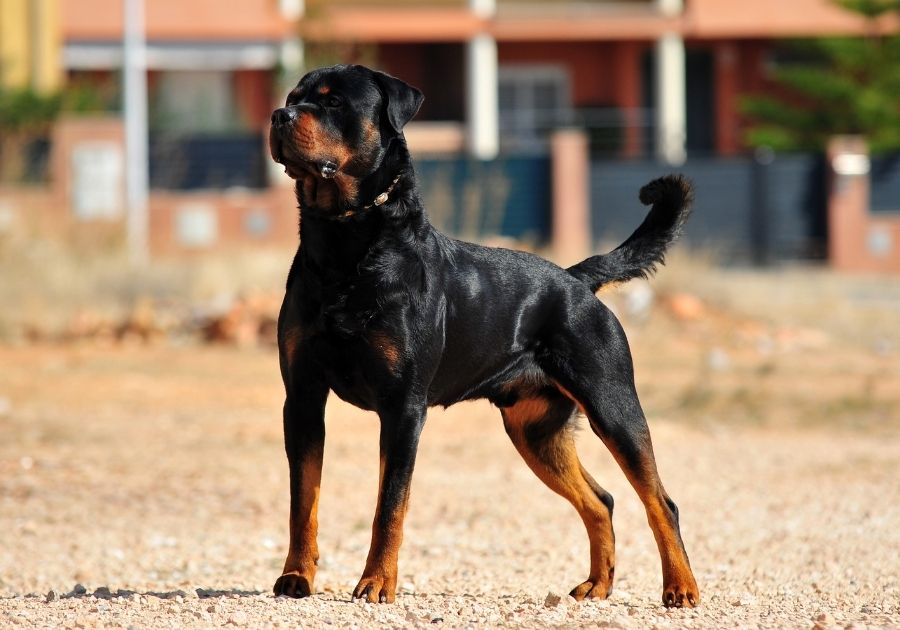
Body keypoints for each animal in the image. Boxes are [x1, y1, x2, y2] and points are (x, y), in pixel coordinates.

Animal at [264, 63, 700, 608]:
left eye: (333, 102)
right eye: (292, 97)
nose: (278, 116)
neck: (345, 243)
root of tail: (576, 280)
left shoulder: (403, 408)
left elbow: (390, 506)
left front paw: (377, 583)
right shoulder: (302, 397)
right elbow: (303, 500)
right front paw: (296, 577)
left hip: (613, 404)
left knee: (661, 500)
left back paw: (680, 587)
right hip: (535, 431)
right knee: (601, 500)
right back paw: (597, 585)